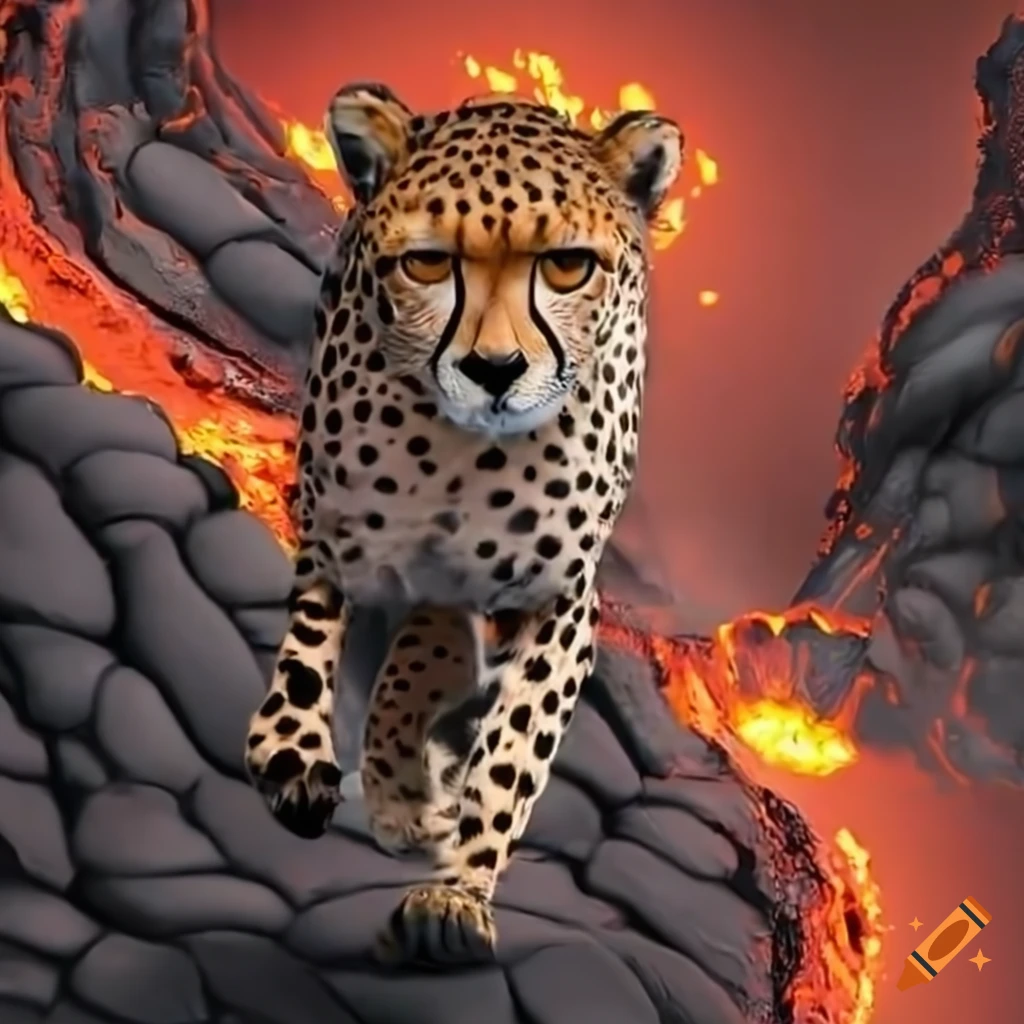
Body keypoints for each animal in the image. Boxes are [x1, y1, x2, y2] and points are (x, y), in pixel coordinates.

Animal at [243, 80, 682, 967]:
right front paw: (295, 752)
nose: (495, 370)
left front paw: (454, 893)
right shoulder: (346, 537)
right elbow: (317, 639)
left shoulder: (559, 600)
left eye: (567, 265)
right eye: (427, 263)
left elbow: (510, 753)